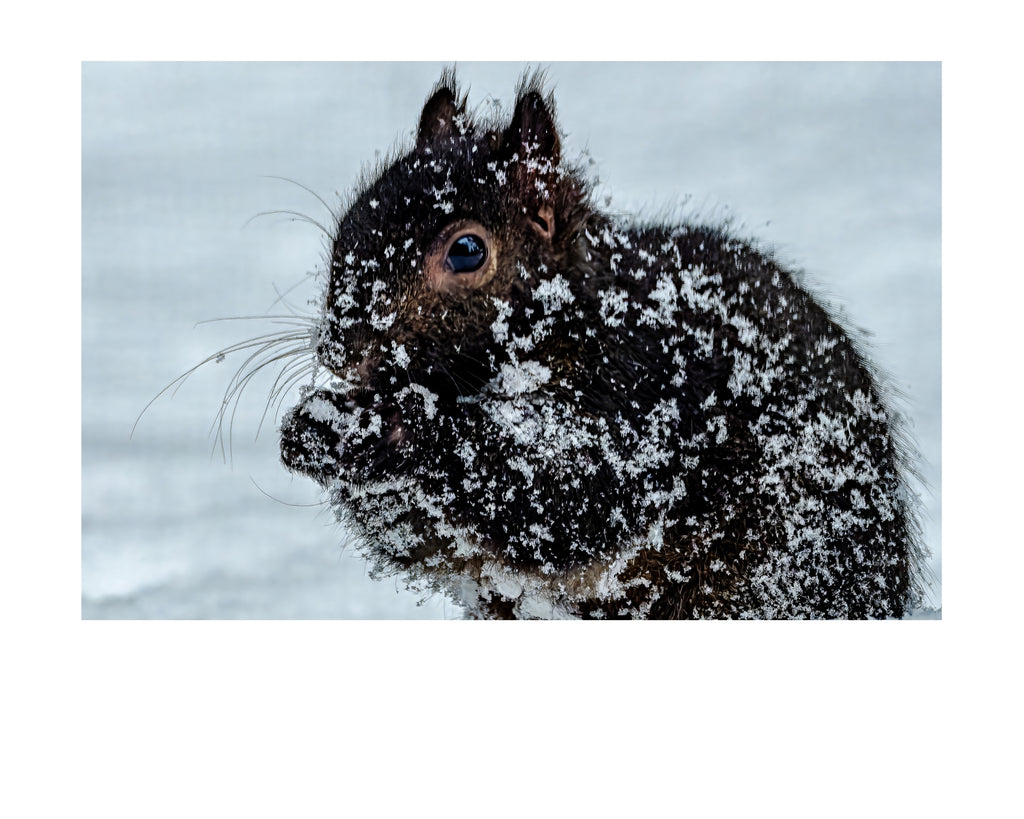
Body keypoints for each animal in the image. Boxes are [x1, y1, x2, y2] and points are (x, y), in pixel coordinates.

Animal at [279, 69, 925, 619]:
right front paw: (313, 427)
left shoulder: (645, 398)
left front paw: (393, 424)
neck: (573, 325)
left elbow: (563, 493)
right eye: (351, 220)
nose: (342, 350)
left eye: (466, 250)